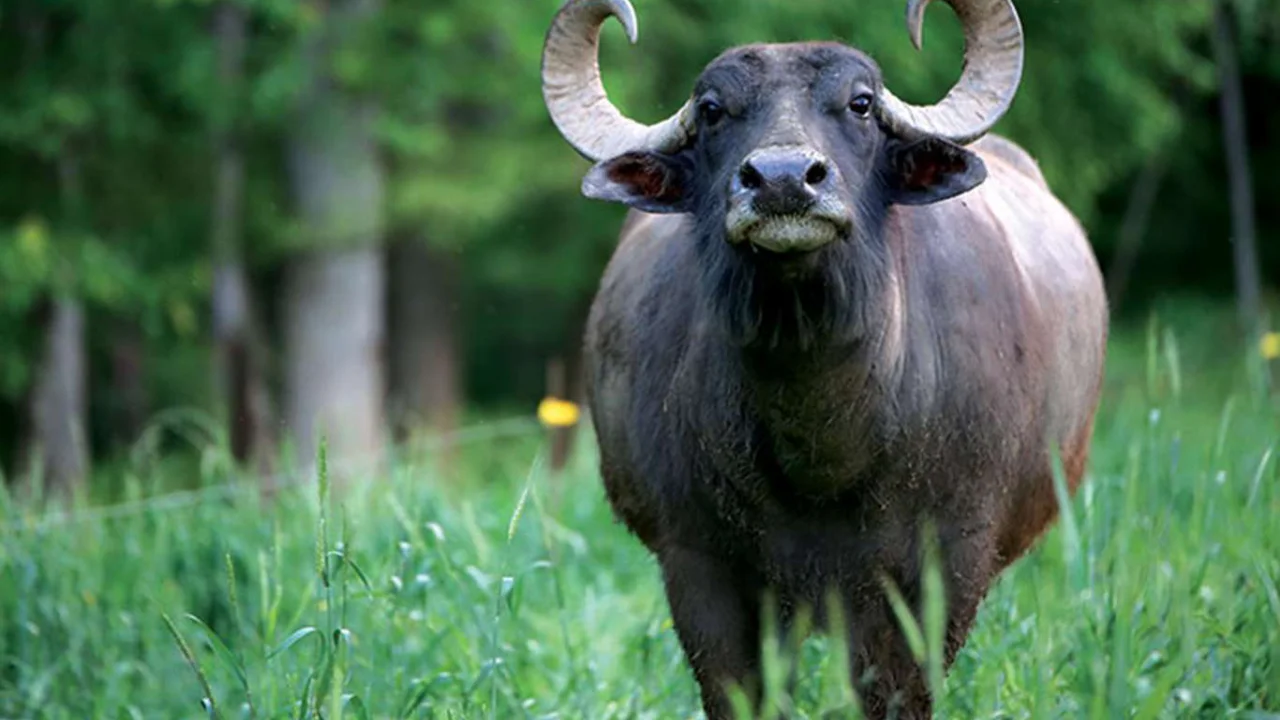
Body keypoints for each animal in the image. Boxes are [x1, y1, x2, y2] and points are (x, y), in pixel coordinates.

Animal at [540, 0, 1111, 712]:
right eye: (712, 109)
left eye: (860, 103)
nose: (783, 180)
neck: (822, 439)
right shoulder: (699, 564)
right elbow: (740, 694)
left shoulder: (946, 562)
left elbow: (898, 692)